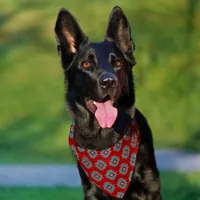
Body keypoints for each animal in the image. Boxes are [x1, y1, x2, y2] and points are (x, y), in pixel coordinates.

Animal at [54, 6, 162, 200]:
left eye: (117, 63)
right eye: (86, 64)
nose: (109, 82)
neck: (103, 136)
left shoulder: (150, 187)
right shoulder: (91, 192)